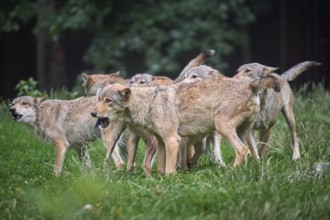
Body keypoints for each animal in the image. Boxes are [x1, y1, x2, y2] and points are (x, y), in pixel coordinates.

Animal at [91, 69, 282, 174]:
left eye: (108, 101)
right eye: (99, 99)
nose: (93, 113)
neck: (149, 103)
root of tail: (250, 85)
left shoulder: (172, 140)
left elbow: (169, 170)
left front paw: (170, 182)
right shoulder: (162, 142)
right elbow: (159, 168)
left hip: (221, 126)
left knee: (242, 151)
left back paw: (229, 171)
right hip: (243, 132)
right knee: (249, 153)